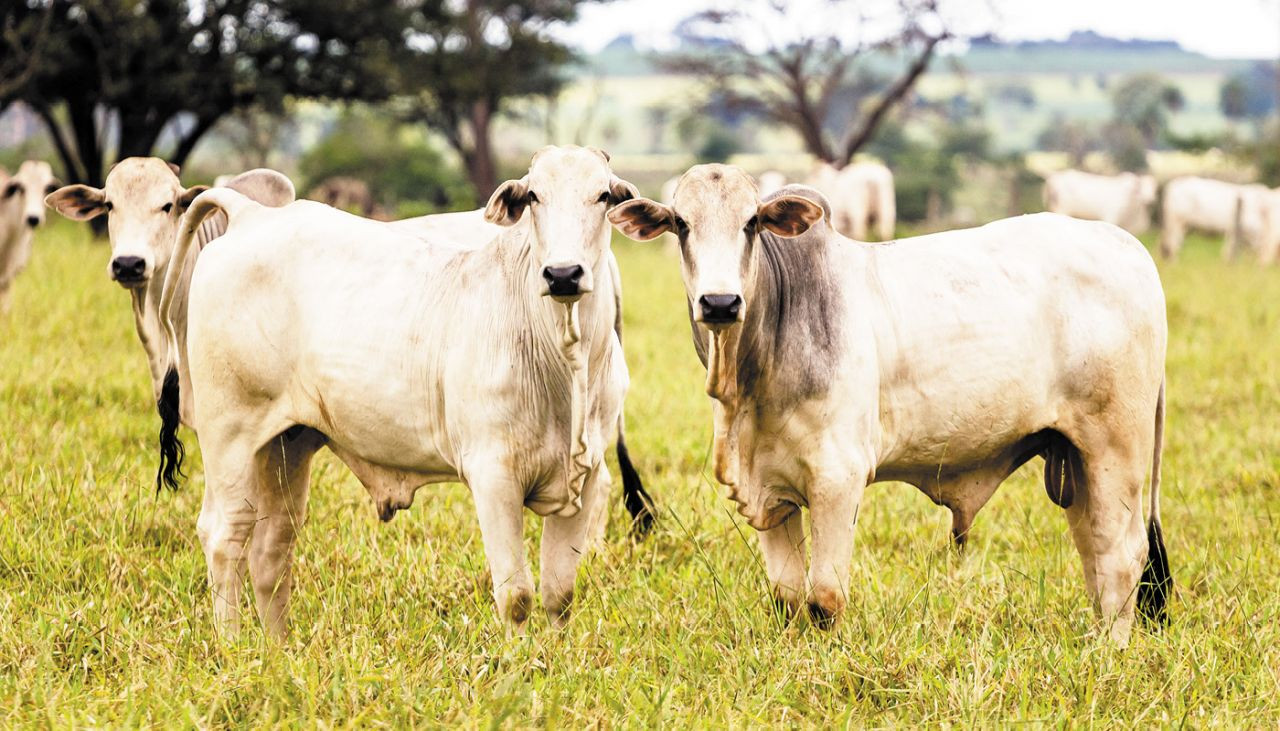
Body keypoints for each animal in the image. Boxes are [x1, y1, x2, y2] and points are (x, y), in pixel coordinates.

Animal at [154, 145, 650, 637]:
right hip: (230, 436)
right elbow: (517, 596)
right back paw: (232, 643)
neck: (564, 363)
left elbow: (558, 594)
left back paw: (277, 646)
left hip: (285, 443)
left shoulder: (585, 477)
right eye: (533, 197)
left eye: (604, 196)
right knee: (225, 534)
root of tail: (250, 214)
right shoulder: (494, 476)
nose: (563, 274)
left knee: (272, 547)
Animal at [609, 168, 1172, 650]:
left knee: (1123, 556)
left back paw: (1111, 651)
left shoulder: (838, 478)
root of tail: (1129, 247)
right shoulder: (771, 491)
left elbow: (824, 598)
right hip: (1075, 458)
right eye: (682, 224)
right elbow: (787, 597)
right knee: (1094, 549)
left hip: (1116, 451)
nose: (720, 303)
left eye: (751, 222)